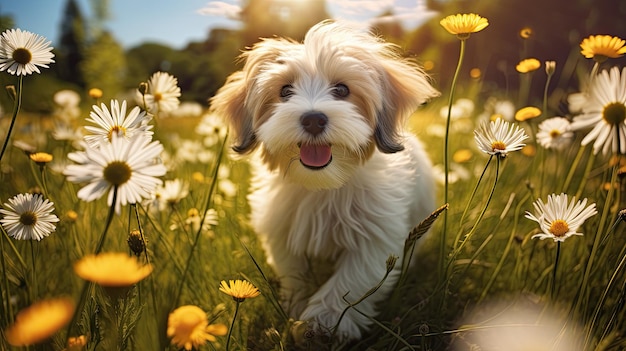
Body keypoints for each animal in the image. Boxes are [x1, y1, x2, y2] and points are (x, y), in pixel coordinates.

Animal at [207, 20, 436, 344]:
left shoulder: (375, 238)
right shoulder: (284, 233)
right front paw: (296, 310)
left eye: (341, 90)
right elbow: (295, 275)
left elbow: (349, 282)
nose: (313, 119)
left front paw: (323, 323)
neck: (324, 185)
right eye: (285, 91)